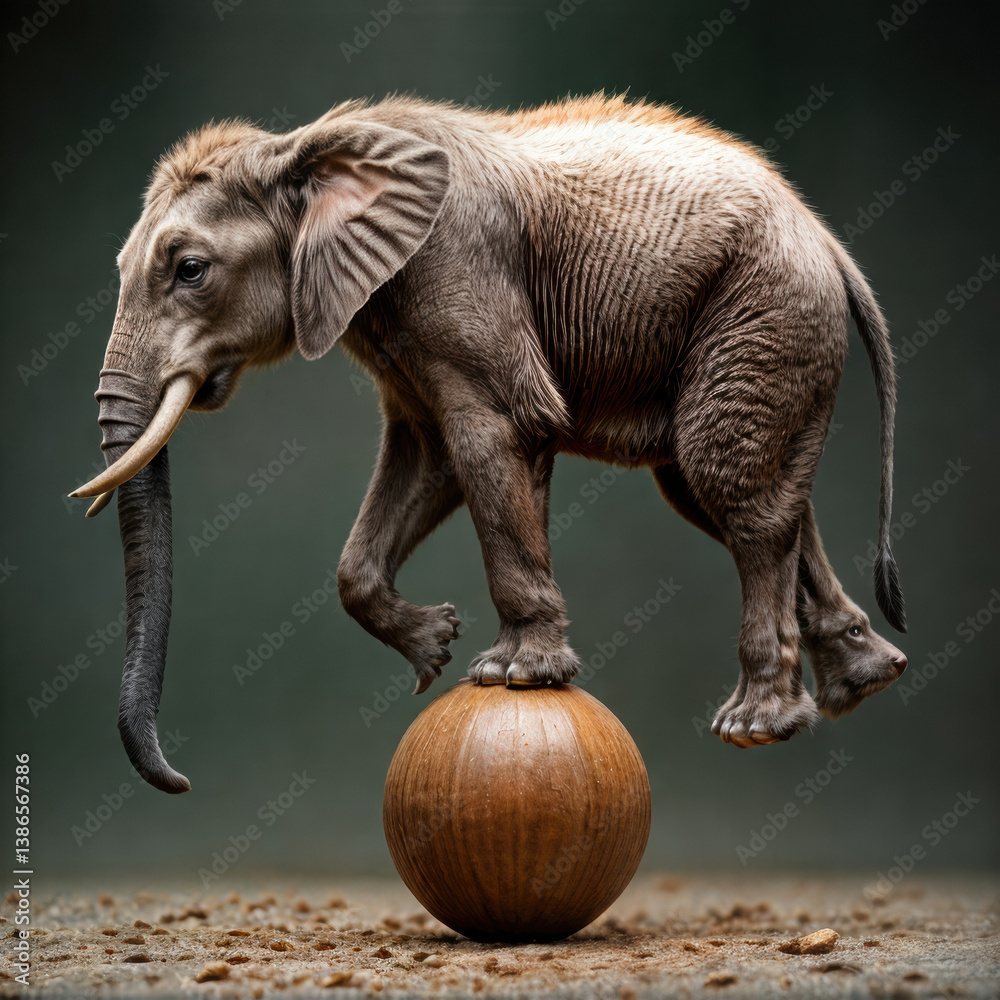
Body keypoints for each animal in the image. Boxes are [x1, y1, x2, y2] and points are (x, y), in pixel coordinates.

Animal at [70, 94, 907, 794]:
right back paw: (865, 679)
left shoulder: (455, 270)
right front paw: (435, 650)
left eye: (190, 270)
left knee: (729, 486)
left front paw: (512, 674)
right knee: (731, 494)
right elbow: (429, 457)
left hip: (762, 310)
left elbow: (494, 434)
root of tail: (829, 241)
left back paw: (754, 725)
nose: (180, 782)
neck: (302, 149)